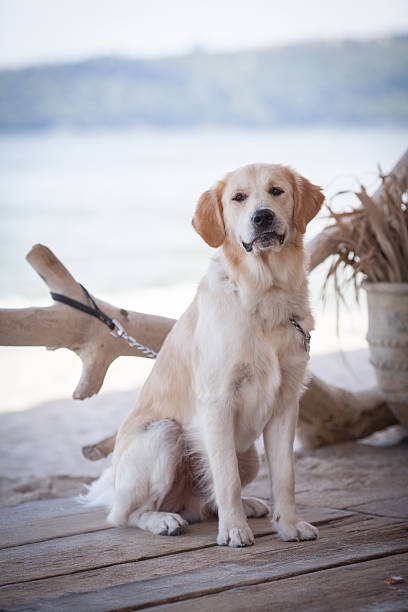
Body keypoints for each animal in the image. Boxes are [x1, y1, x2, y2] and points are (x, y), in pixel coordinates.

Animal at [84, 164, 324, 548]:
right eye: (238, 197)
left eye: (277, 191)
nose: (262, 216)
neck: (264, 296)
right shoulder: (217, 402)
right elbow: (226, 477)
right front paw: (234, 531)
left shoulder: (287, 403)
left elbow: (285, 477)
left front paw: (289, 525)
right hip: (164, 435)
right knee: (123, 515)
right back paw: (164, 520)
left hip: (249, 455)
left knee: (206, 502)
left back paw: (246, 504)